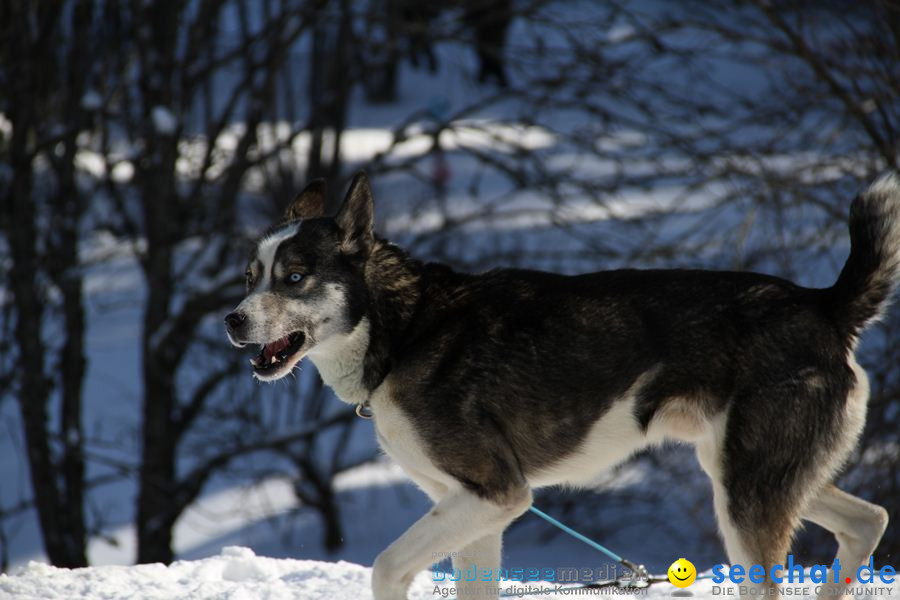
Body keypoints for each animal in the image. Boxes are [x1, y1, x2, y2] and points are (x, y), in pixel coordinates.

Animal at [227, 171, 900, 596]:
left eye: (294, 277)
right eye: (250, 277)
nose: (232, 320)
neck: (403, 328)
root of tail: (824, 305)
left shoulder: (497, 494)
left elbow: (387, 568)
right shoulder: (472, 512)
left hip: (745, 496)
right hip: (749, 473)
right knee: (870, 519)